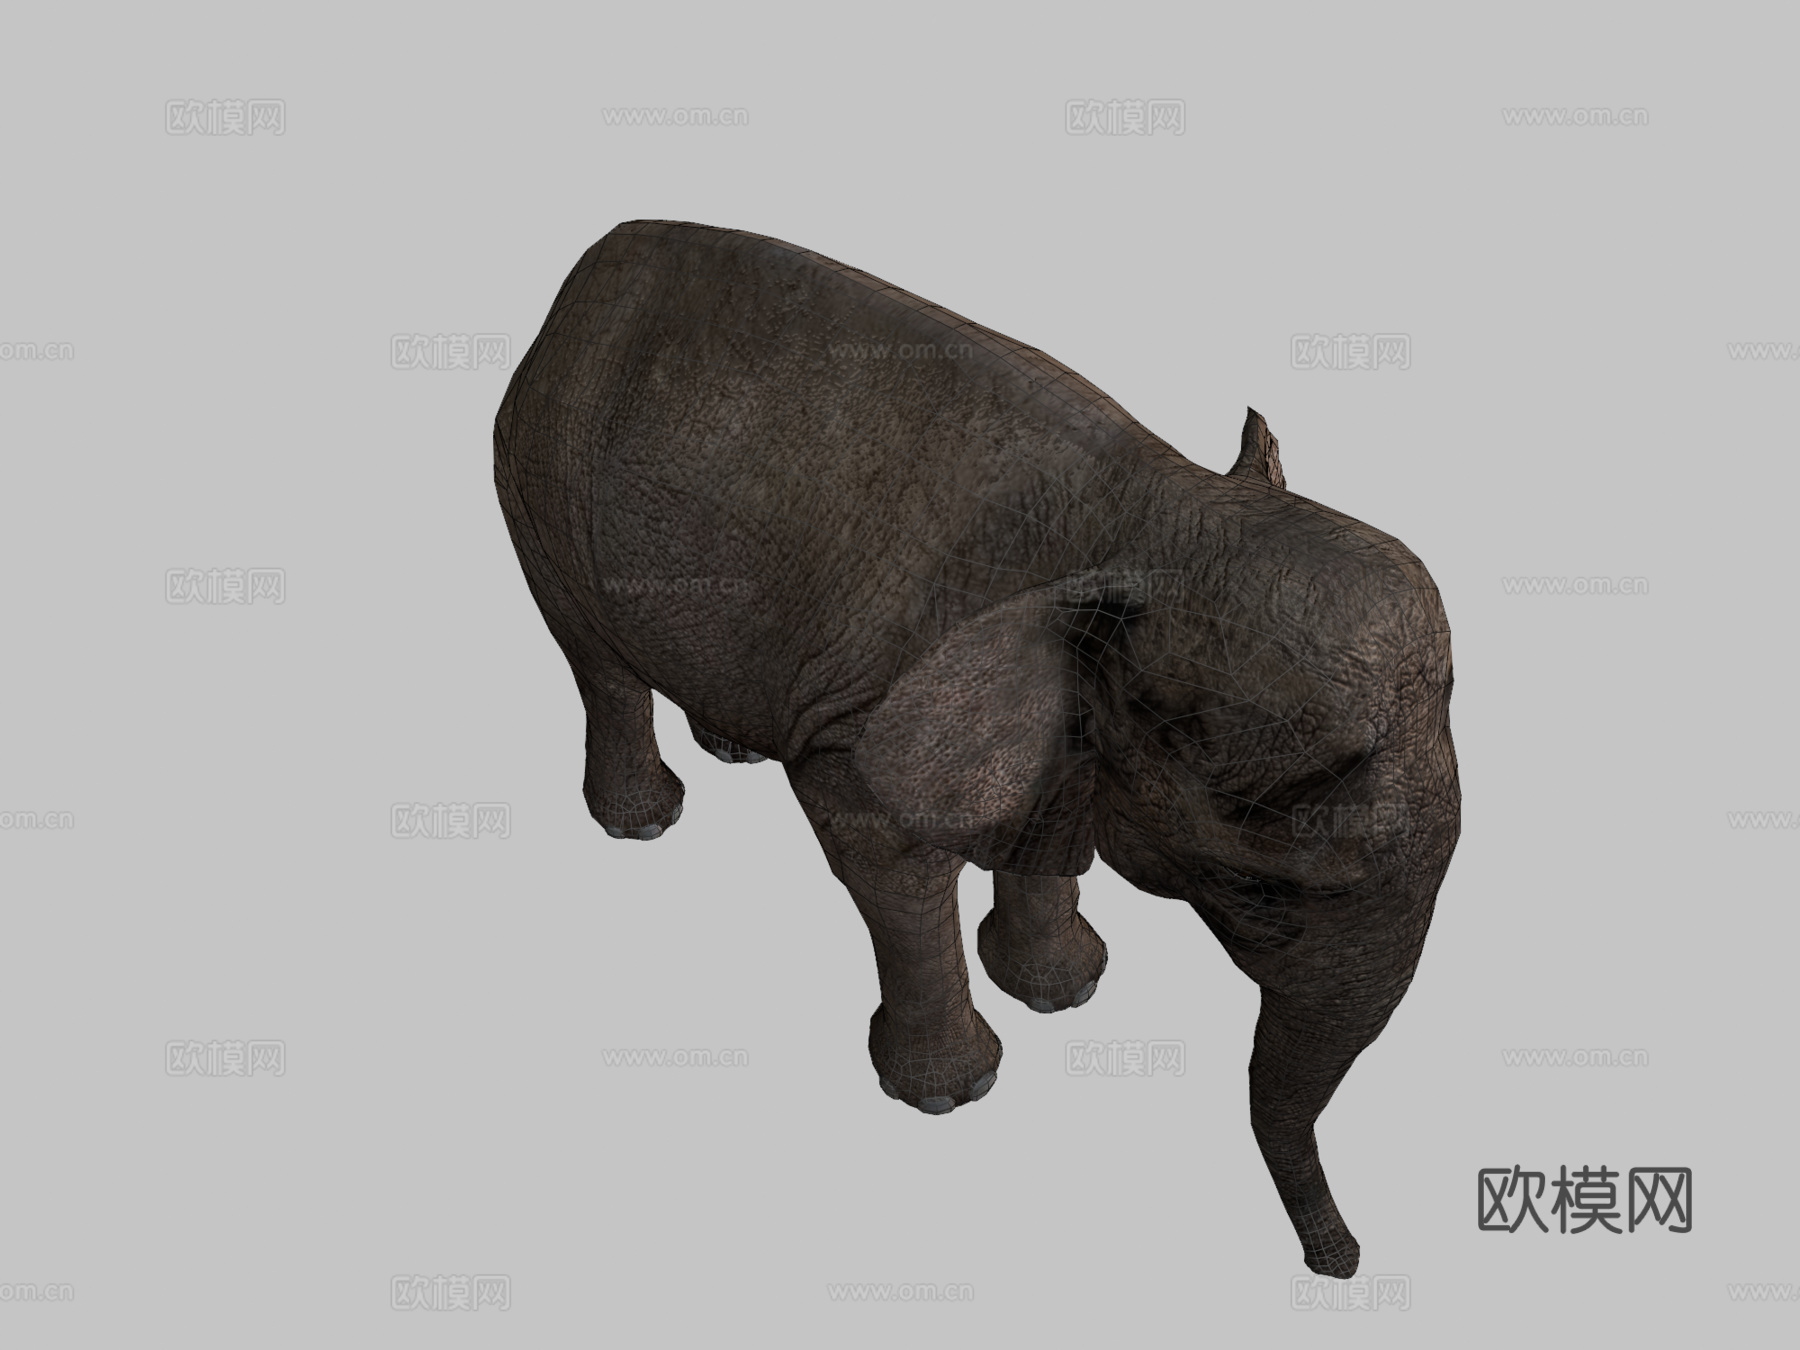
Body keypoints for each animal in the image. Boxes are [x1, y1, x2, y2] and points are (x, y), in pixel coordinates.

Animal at [493, 220, 1460, 1278]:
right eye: (1260, 882)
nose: (1344, 1262)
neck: (1152, 513)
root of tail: (590, 263)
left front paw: (1068, 992)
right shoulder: (875, 708)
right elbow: (886, 853)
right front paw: (951, 1095)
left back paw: (731, 750)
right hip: (539, 481)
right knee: (594, 657)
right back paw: (641, 823)